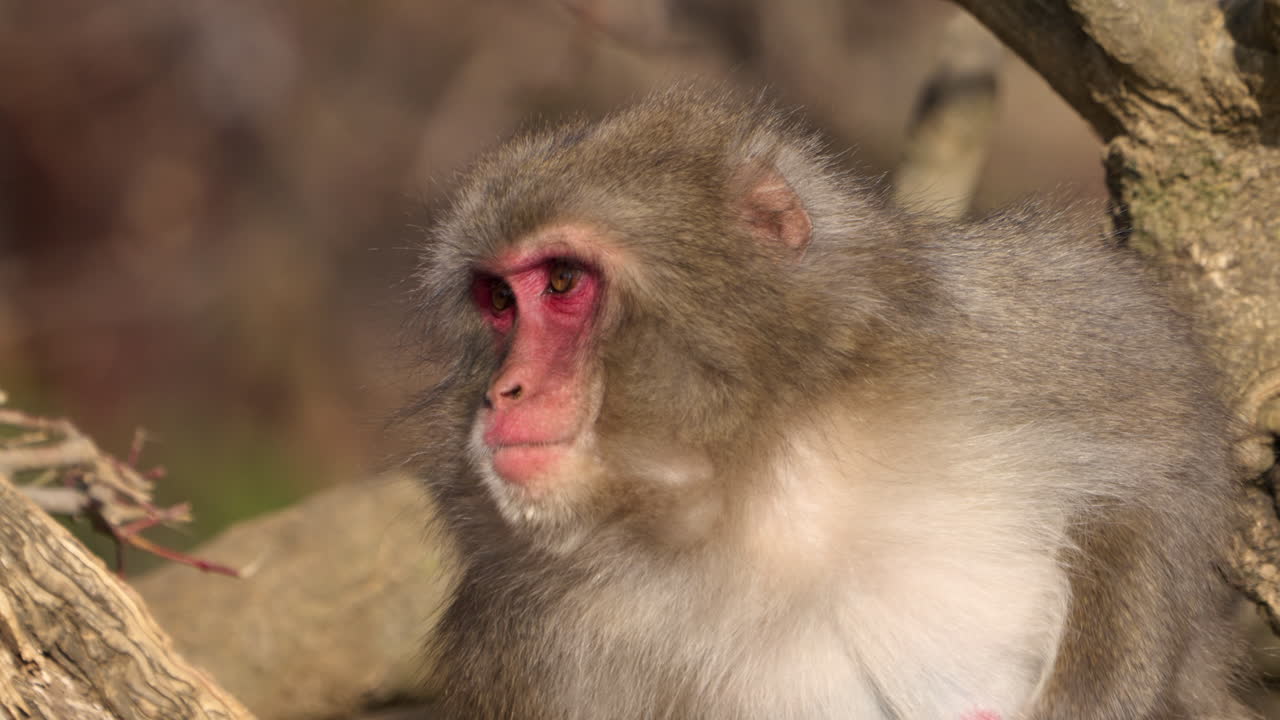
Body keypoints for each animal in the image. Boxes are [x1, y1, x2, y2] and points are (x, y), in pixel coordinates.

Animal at [403, 87, 1252, 719]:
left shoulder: (981, 333)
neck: (759, 475)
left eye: (561, 282)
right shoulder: (533, 643)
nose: (503, 392)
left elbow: (1165, 436)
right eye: (498, 302)